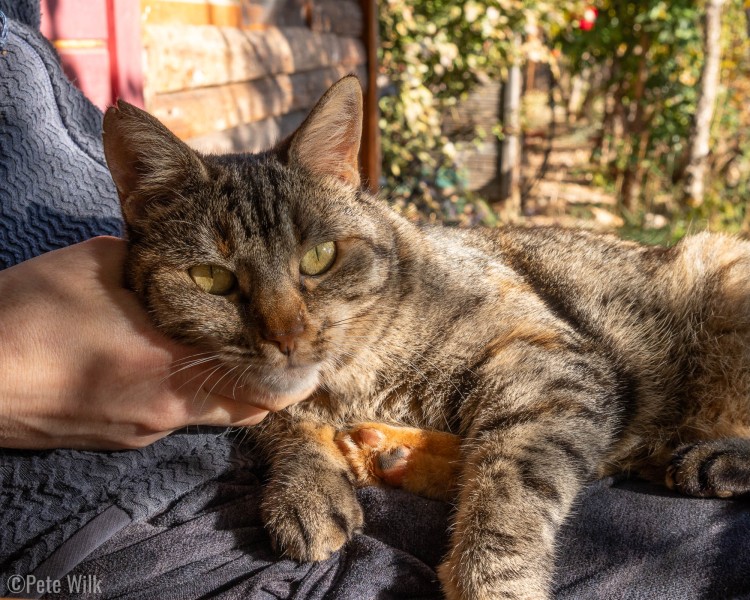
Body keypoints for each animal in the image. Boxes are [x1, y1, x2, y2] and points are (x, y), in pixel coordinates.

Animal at [103, 77, 750, 596]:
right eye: (212, 279)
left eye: (319, 258)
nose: (287, 334)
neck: (356, 380)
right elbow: (282, 420)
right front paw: (306, 484)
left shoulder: (554, 359)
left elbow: (512, 483)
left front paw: (491, 583)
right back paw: (384, 450)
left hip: (719, 275)